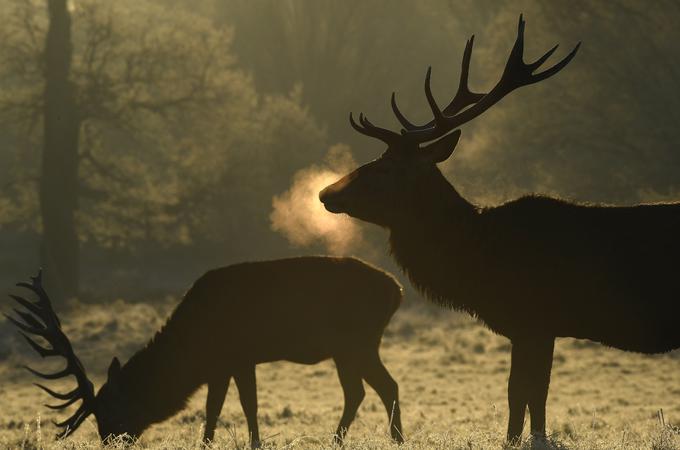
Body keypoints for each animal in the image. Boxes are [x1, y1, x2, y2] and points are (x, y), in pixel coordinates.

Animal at [5, 256, 404, 446]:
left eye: (111, 408)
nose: (109, 441)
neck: (193, 347)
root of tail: (397, 290)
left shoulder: (240, 355)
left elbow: (248, 405)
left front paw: (255, 443)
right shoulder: (219, 365)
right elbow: (213, 408)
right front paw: (207, 443)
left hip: (356, 342)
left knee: (377, 388)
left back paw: (376, 439)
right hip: (352, 347)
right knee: (369, 389)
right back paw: (366, 439)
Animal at [318, 14, 680, 442]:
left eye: (386, 168)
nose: (325, 192)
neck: (481, 265)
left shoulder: (535, 321)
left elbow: (522, 395)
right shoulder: (534, 328)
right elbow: (531, 398)